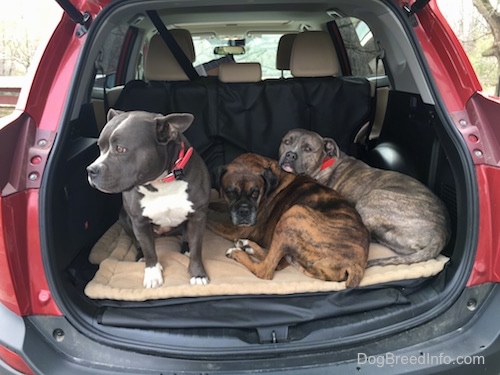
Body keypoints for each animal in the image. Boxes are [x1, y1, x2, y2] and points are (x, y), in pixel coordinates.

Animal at [86, 108, 211, 288]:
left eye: (120, 149)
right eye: (99, 147)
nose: (91, 170)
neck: (161, 182)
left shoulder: (198, 216)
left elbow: (196, 248)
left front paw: (198, 274)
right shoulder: (139, 222)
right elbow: (149, 250)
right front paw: (152, 274)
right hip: (124, 219)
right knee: (137, 242)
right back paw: (140, 256)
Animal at [205, 153, 370, 288]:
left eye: (255, 193)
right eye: (230, 193)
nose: (244, 211)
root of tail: (357, 265)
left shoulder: (238, 229)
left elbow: (212, 222)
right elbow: (214, 204)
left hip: (293, 213)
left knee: (267, 269)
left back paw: (238, 252)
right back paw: (247, 245)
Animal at [280, 129, 452, 268]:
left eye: (308, 149)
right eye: (286, 142)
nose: (290, 154)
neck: (323, 162)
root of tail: (442, 232)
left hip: (371, 198)